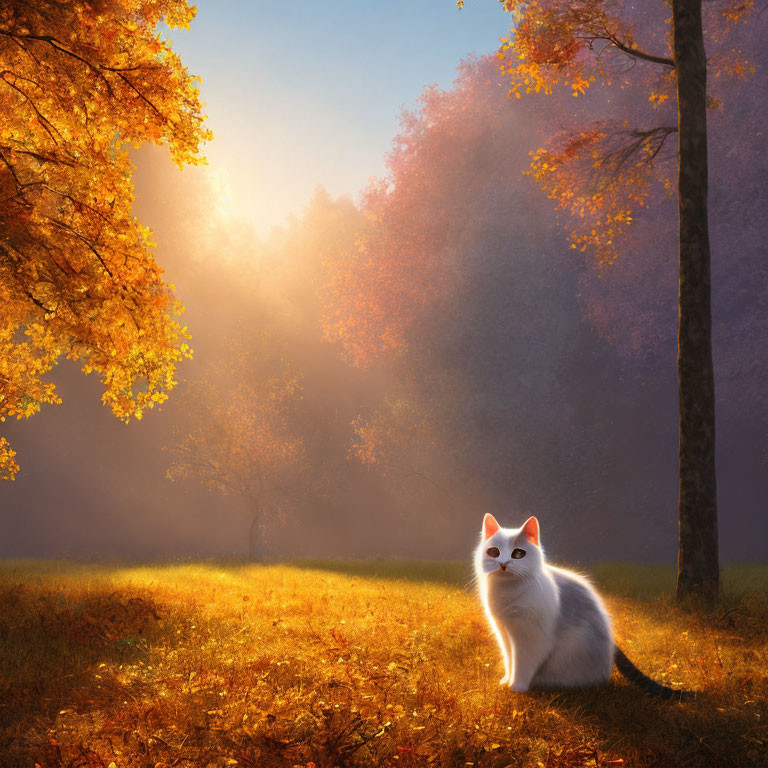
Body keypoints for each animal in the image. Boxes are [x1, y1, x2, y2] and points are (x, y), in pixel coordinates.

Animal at [476, 512, 692, 700]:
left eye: (518, 554)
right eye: (494, 552)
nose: (503, 563)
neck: (507, 591)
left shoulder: (530, 637)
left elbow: (523, 663)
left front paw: (517, 688)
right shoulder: (504, 631)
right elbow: (509, 658)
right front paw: (506, 682)